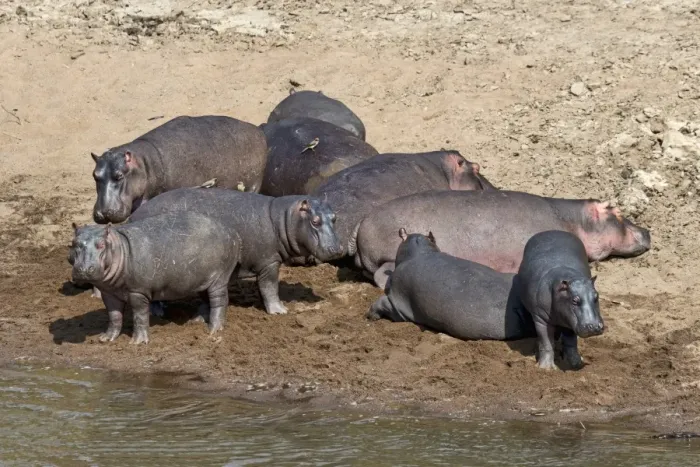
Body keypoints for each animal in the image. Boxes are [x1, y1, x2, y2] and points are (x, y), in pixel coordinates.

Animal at [68, 212, 241, 344]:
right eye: (74, 243)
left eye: (101, 245)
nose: (83, 269)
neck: (120, 247)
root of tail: (231, 232)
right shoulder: (109, 293)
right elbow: (114, 316)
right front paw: (105, 338)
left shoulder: (138, 292)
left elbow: (140, 315)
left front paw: (137, 342)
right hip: (201, 280)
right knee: (206, 300)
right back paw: (196, 321)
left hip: (219, 279)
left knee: (219, 301)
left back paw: (213, 330)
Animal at [91, 115, 267, 224]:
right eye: (95, 175)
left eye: (120, 175)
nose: (103, 213)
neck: (144, 163)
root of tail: (257, 130)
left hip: (255, 182)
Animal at [128, 187, 343, 315]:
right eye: (315, 221)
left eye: (334, 217)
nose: (337, 249)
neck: (283, 218)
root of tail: (134, 215)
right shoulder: (269, 262)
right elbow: (269, 287)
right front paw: (280, 311)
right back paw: (158, 312)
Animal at [353, 190, 651, 288]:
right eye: (617, 212)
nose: (647, 231)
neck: (574, 220)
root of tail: (361, 223)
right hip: (389, 254)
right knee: (381, 273)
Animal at [516, 230, 604, 370]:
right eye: (574, 300)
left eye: (596, 296)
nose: (594, 326)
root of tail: (552, 231)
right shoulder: (541, 319)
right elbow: (546, 343)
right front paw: (546, 368)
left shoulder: (570, 321)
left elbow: (571, 342)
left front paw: (576, 363)